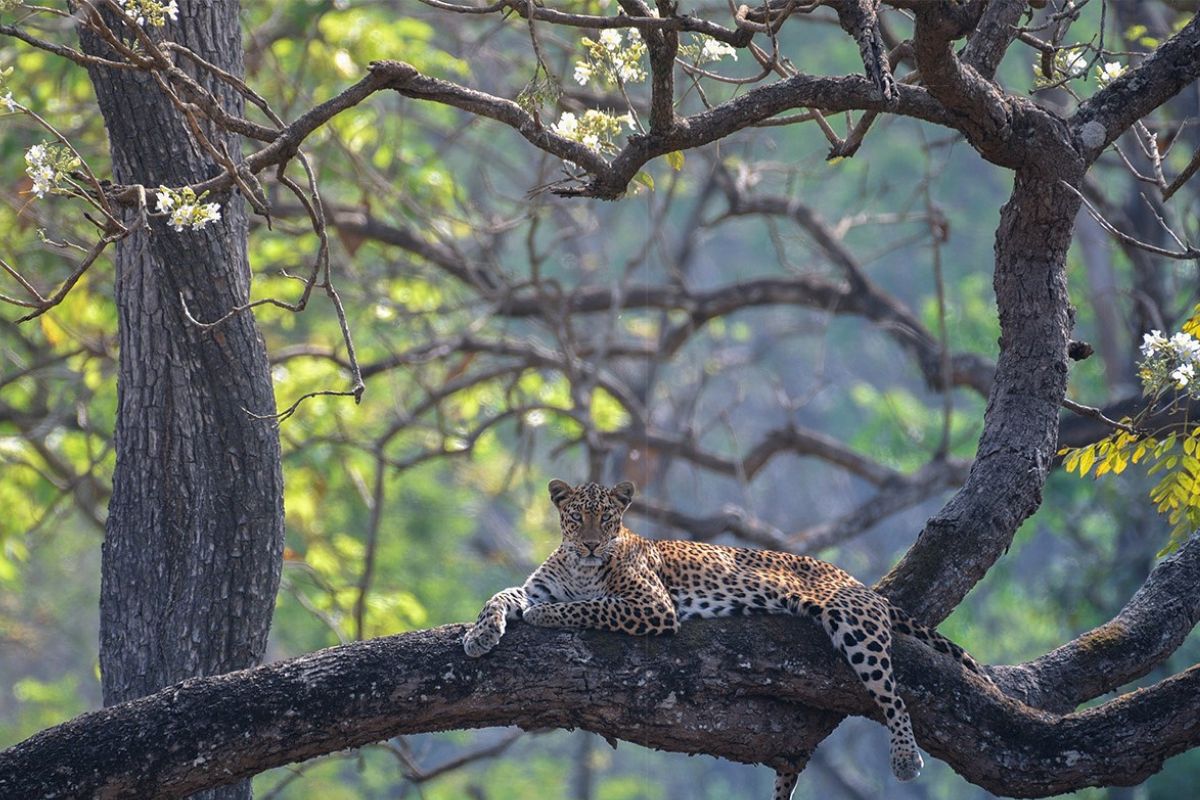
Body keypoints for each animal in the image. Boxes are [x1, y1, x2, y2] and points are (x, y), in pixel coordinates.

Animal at [463, 479, 990, 798]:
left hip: (853, 623)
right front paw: (479, 635)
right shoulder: (538, 585)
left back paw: (904, 757)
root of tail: (852, 578)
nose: (592, 543)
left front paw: (544, 616)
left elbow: (586, 606)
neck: (580, 565)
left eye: (607, 519)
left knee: (893, 694)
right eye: (576, 518)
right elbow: (499, 597)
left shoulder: (650, 605)